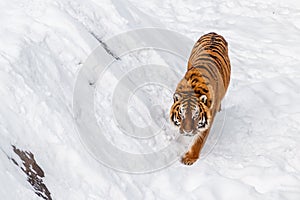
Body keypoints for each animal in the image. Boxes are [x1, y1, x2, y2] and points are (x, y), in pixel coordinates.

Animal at [170, 32, 231, 165]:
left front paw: (189, 158)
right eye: (181, 114)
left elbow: (199, 141)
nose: (187, 132)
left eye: (196, 115)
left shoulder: (209, 118)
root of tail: (214, 33)